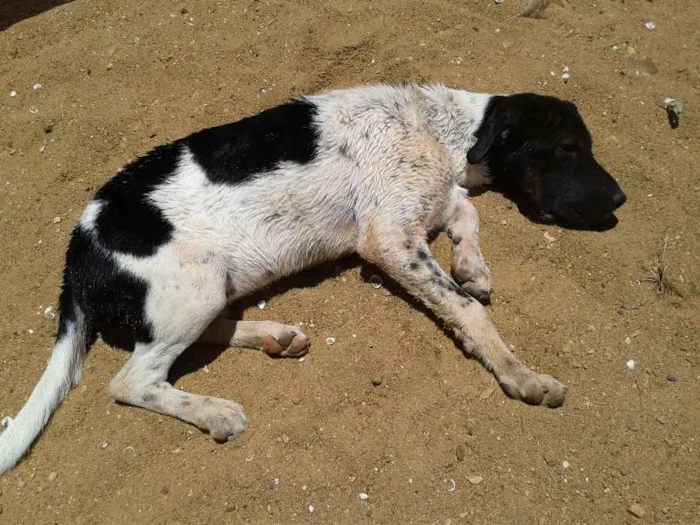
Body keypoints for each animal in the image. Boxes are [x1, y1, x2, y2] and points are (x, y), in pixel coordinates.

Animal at [0, 82, 624, 470]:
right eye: (567, 148)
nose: (621, 200)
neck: (438, 128)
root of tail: (77, 252)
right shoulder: (389, 239)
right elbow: (470, 308)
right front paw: (521, 373)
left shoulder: (425, 207)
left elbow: (467, 215)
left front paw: (473, 266)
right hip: (193, 286)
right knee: (132, 381)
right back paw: (215, 411)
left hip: (210, 288)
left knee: (200, 335)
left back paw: (272, 335)